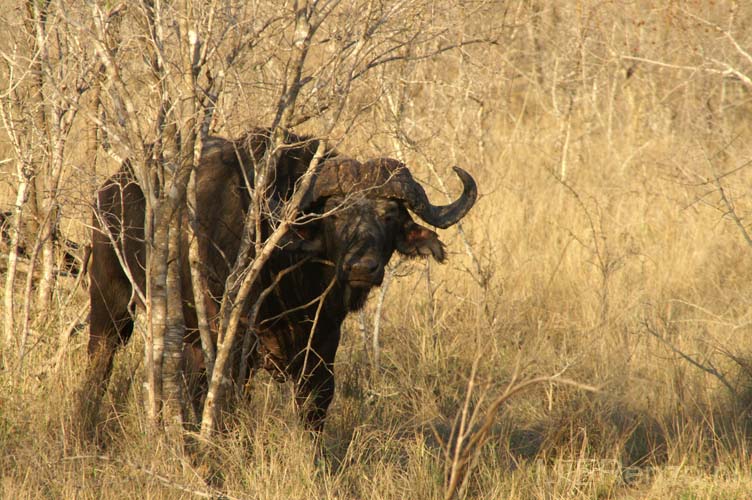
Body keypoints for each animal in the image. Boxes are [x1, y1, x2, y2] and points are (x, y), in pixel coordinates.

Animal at [86, 128, 476, 430]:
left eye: (390, 215)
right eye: (334, 214)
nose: (362, 267)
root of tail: (111, 189)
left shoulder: (322, 346)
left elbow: (316, 404)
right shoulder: (234, 346)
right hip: (111, 304)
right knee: (100, 360)